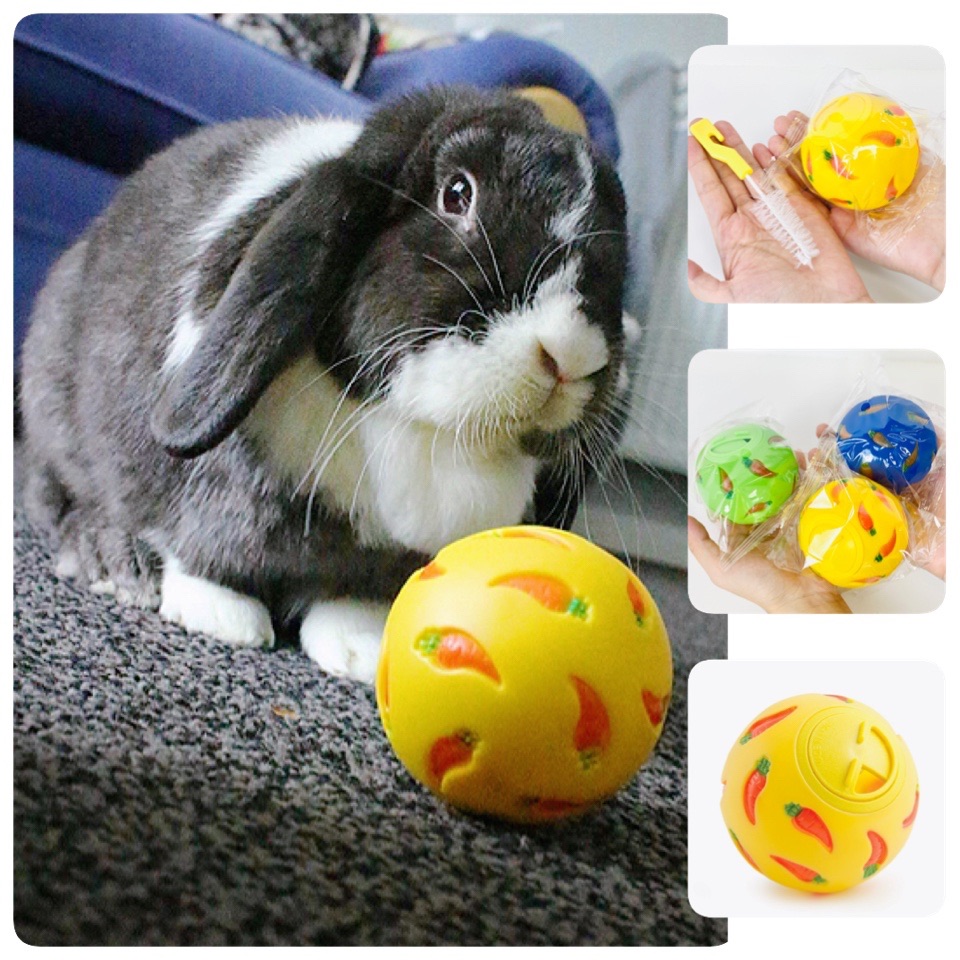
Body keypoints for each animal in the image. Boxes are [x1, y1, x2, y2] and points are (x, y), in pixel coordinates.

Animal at [19, 86, 637, 683]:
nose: (570, 354)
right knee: (54, 496)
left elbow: (352, 597)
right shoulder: (207, 493)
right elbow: (200, 546)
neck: (426, 433)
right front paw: (222, 617)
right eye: (457, 194)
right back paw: (115, 563)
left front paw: (359, 651)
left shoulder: (376, 560)